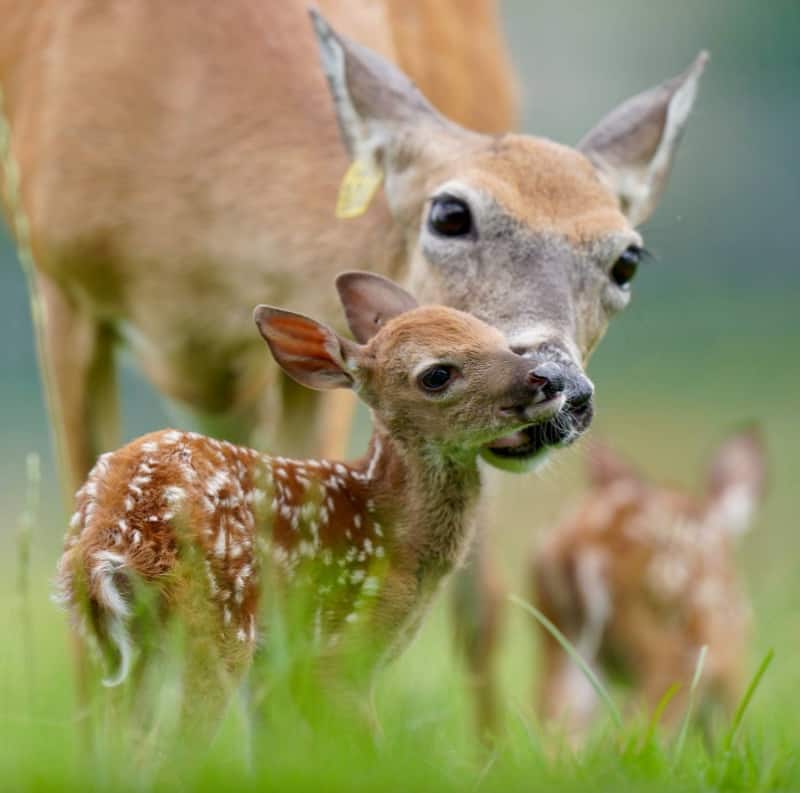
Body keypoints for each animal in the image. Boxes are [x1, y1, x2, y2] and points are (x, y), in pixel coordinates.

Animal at [54, 271, 569, 734]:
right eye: (437, 374)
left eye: (503, 342)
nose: (546, 378)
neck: (397, 532)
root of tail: (108, 540)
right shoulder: (342, 648)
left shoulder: (278, 667)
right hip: (215, 627)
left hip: (112, 648)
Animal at [531, 429, 766, 742]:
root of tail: (578, 548)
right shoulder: (729, 658)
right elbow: (731, 725)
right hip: (669, 646)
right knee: (636, 731)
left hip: (560, 637)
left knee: (559, 728)